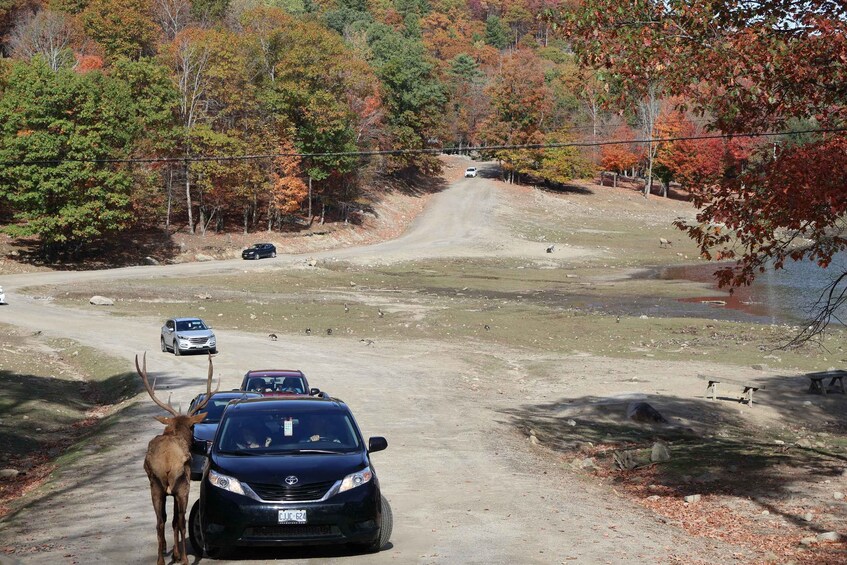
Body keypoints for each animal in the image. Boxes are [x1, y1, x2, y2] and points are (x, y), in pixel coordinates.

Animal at [136, 352, 217, 565]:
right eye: (193, 426)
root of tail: (166, 465)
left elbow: (167, 520)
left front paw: (172, 552)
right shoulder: (182, 485)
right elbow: (176, 520)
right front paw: (177, 554)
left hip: (155, 486)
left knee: (159, 521)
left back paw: (160, 560)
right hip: (182, 485)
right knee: (180, 520)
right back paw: (185, 559)